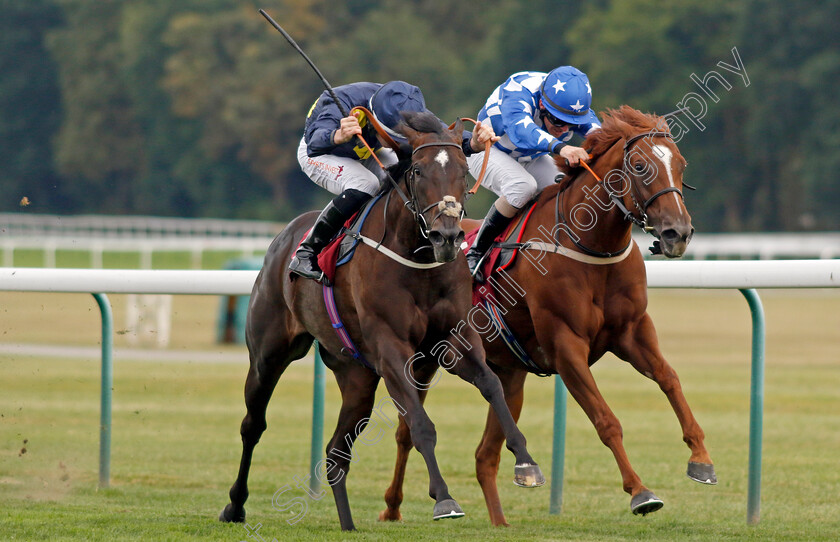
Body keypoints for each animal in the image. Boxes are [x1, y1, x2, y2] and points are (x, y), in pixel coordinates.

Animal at [218, 111, 544, 536]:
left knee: (336, 451)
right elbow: (421, 425)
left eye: (462, 170)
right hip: (268, 355)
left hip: (356, 377)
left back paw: (347, 524)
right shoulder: (391, 349)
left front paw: (526, 462)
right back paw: (235, 506)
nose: (448, 235)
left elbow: (492, 386)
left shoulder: (454, 339)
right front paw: (444, 498)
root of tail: (282, 239)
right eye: (418, 171)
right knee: (252, 425)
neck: (418, 260)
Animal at [380, 105, 716, 528]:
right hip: (423, 360)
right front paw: (641, 492)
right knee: (406, 431)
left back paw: (500, 520)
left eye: (681, 165)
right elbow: (606, 420)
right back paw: (393, 506)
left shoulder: (633, 332)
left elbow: (670, 379)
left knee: (484, 456)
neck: (588, 245)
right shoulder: (566, 346)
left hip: (508, 375)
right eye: (639, 165)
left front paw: (701, 459)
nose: (678, 233)